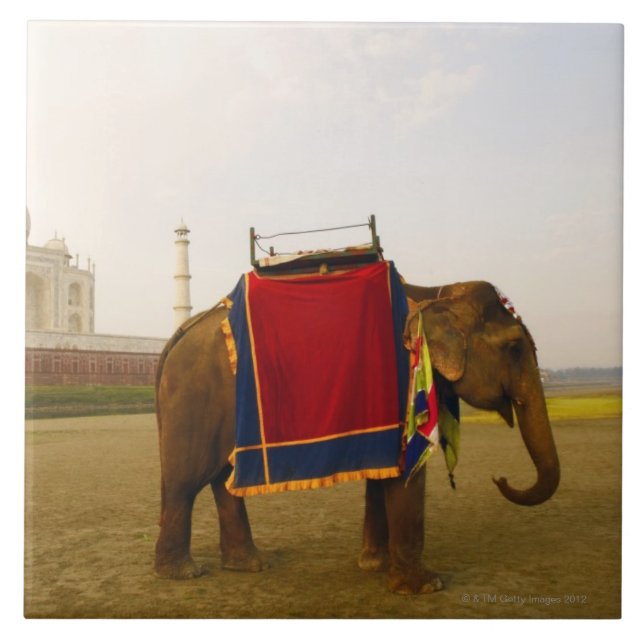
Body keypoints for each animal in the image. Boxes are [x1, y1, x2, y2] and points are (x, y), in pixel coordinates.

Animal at [153, 279, 560, 594]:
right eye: (514, 348)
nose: (500, 477)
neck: (435, 292)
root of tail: (177, 336)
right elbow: (405, 471)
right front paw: (426, 586)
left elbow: (383, 471)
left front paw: (374, 565)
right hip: (195, 400)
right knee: (186, 483)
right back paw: (183, 573)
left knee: (222, 479)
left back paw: (250, 564)